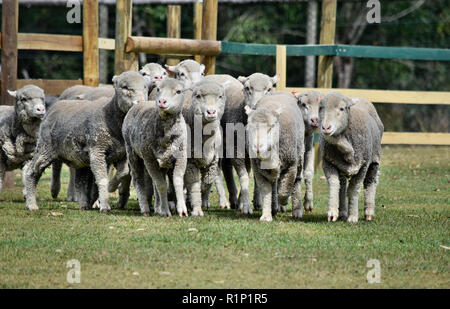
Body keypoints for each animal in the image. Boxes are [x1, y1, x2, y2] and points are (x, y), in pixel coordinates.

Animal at [24, 71, 149, 211]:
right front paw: (105, 204)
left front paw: (109, 188)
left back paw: (84, 204)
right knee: (32, 172)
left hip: (80, 158)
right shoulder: (97, 150)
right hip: (45, 148)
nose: (140, 102)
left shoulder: (121, 154)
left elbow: (123, 172)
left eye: (145, 87)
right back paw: (31, 204)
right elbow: (102, 179)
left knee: (80, 181)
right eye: (125, 87)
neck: (110, 115)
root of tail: (53, 107)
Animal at [122, 77, 187, 217]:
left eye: (179, 91)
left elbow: (177, 181)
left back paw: (158, 208)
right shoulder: (150, 159)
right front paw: (166, 211)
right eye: (158, 89)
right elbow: (161, 185)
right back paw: (145, 209)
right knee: (138, 179)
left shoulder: (181, 157)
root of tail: (140, 103)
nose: (161, 101)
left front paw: (182, 209)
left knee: (154, 183)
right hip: (133, 152)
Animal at [246, 92, 306, 220]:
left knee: (296, 181)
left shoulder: (291, 165)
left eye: (271, 127)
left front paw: (284, 201)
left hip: (299, 156)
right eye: (250, 127)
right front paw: (266, 215)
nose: (257, 147)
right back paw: (274, 207)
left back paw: (296, 210)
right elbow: (266, 191)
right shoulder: (258, 171)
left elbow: (284, 191)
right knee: (274, 183)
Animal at [318, 91, 384, 221]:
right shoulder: (328, 163)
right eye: (320, 108)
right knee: (342, 186)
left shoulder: (363, 165)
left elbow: (354, 189)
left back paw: (369, 212)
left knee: (370, 182)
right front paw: (332, 212)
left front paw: (353, 216)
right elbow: (334, 185)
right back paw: (343, 212)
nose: (326, 128)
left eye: (342, 108)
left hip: (374, 160)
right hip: (341, 166)